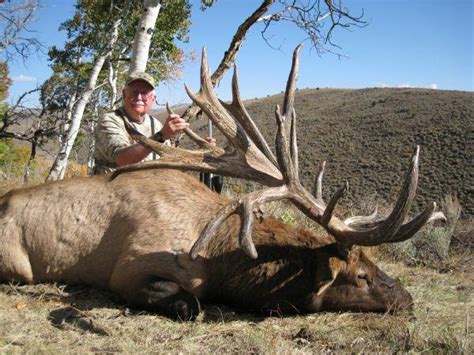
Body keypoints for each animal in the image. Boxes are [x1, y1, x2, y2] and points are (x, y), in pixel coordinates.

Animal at [0, 46, 444, 322]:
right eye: (362, 276)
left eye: (375, 265)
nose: (407, 298)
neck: (220, 260)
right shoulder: (128, 269)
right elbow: (190, 305)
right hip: (16, 265)